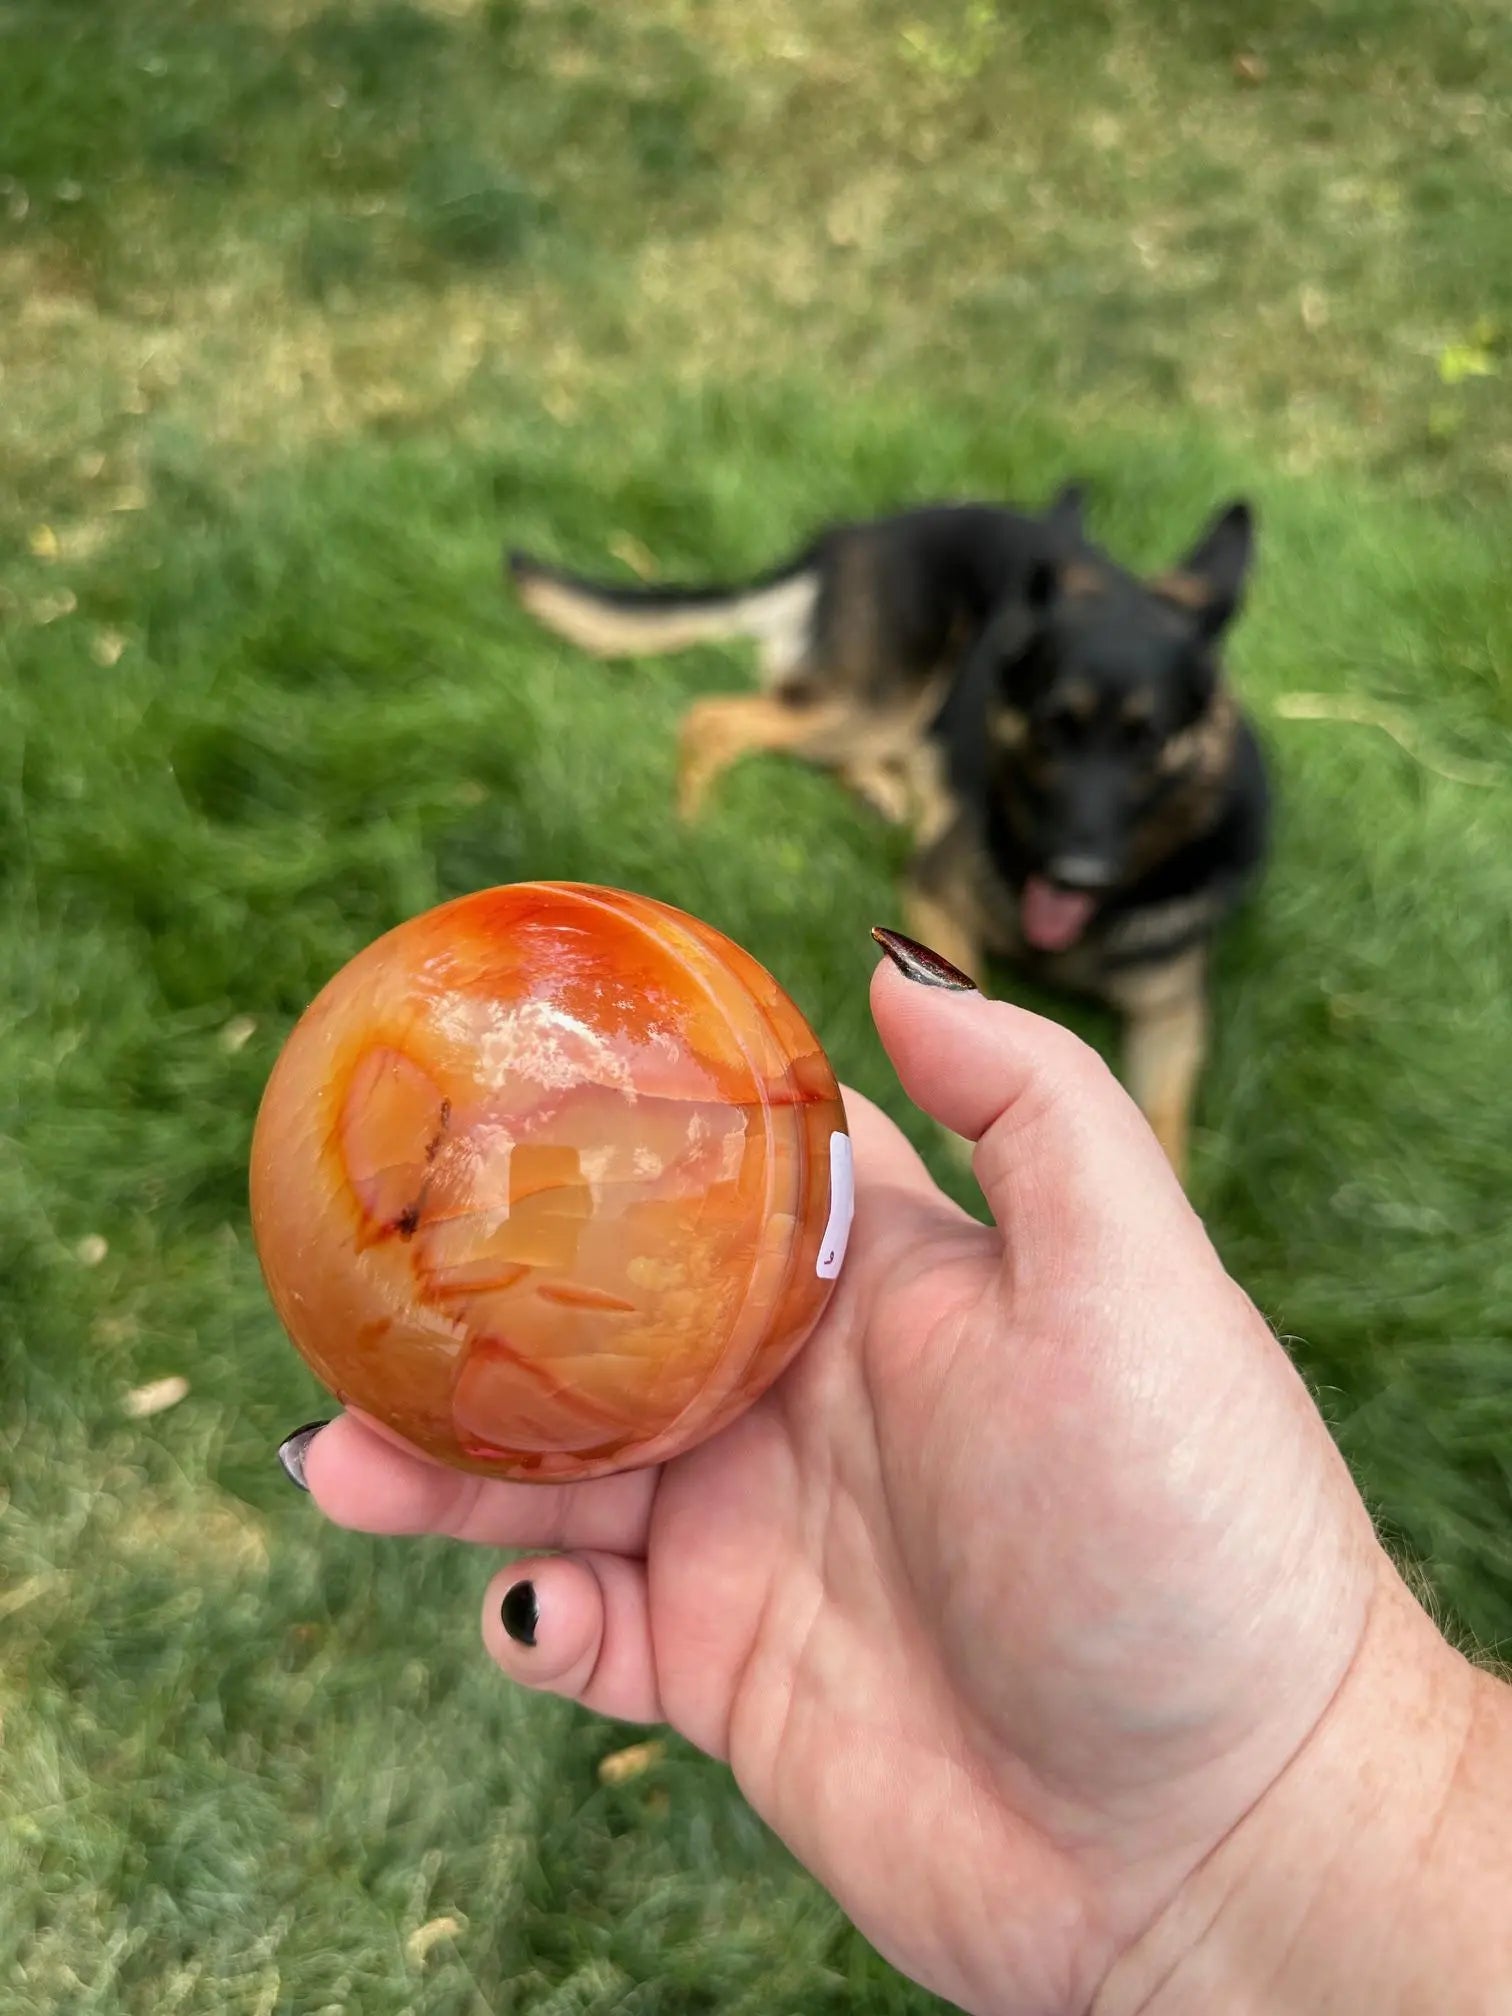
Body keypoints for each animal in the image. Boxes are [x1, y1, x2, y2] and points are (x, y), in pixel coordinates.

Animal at [506, 483, 1266, 1177]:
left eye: (1149, 741)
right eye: (1054, 727)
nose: (1076, 873)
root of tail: (852, 535)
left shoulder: (1174, 1011)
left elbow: (1165, 1119)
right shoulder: (934, 893)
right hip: (879, 697)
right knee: (715, 720)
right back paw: (689, 829)